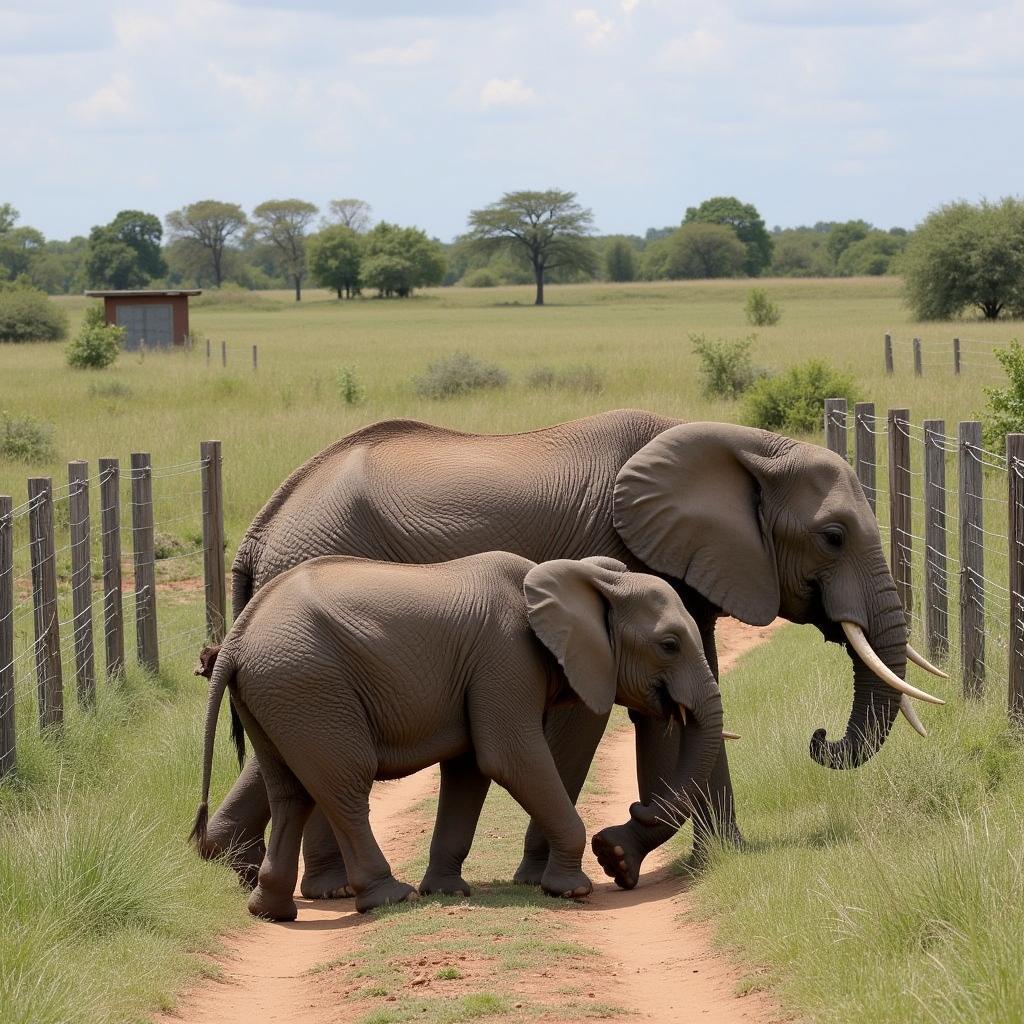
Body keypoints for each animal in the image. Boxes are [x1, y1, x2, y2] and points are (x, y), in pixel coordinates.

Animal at [192, 552, 720, 921]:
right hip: (308, 684)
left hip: (276, 692)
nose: (619, 837)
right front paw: (572, 890)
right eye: (669, 645)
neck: (582, 578)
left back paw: (271, 912)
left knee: (291, 791)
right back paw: (389, 898)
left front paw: (448, 892)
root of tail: (235, 642)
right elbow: (508, 757)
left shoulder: (481, 673)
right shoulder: (505, 657)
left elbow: (469, 770)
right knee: (345, 783)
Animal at [205, 411, 942, 892]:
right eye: (833, 536)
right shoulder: (623, 558)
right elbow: (598, 721)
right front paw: (562, 873)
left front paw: (715, 859)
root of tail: (260, 529)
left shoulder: (684, 569)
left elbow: (672, 711)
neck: (743, 444)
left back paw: (241, 870)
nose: (818, 739)